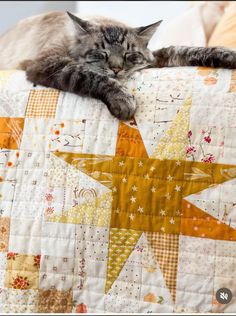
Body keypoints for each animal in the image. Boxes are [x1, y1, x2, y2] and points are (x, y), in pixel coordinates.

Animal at [0, 11, 236, 119]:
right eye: (101, 54)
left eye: (128, 54)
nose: (116, 69)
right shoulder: (49, 63)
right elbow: (91, 75)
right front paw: (123, 100)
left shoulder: (153, 60)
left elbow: (183, 50)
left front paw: (228, 55)